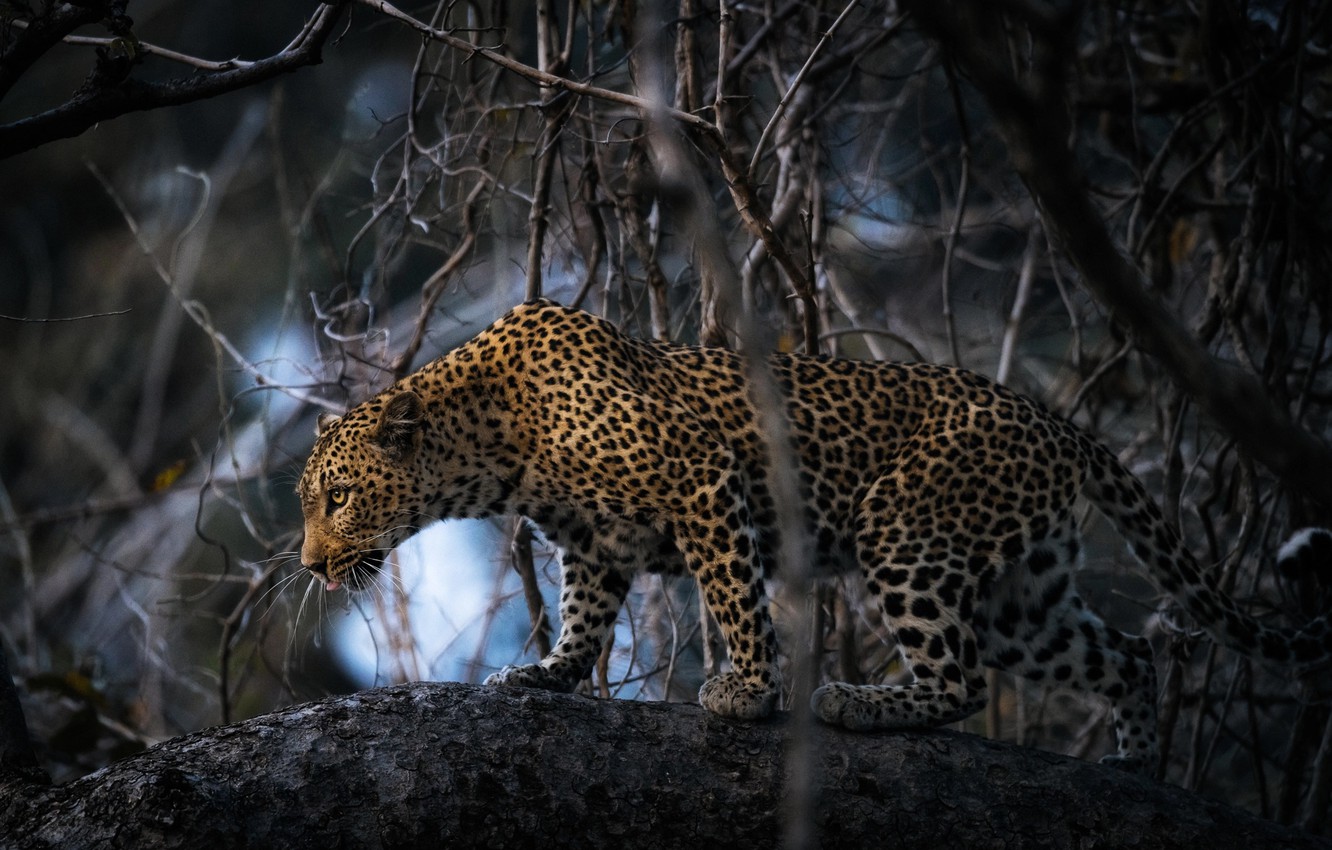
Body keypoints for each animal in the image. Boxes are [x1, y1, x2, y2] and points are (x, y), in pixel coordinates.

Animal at [298, 298, 1331, 771]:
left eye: (338, 497)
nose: (309, 563)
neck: (489, 443)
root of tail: (1059, 422)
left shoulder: (701, 478)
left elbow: (735, 598)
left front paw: (748, 692)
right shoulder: (596, 542)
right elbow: (586, 617)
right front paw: (546, 675)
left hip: (905, 528)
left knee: (959, 679)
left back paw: (857, 702)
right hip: (1023, 596)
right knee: (1124, 655)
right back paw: (1133, 765)